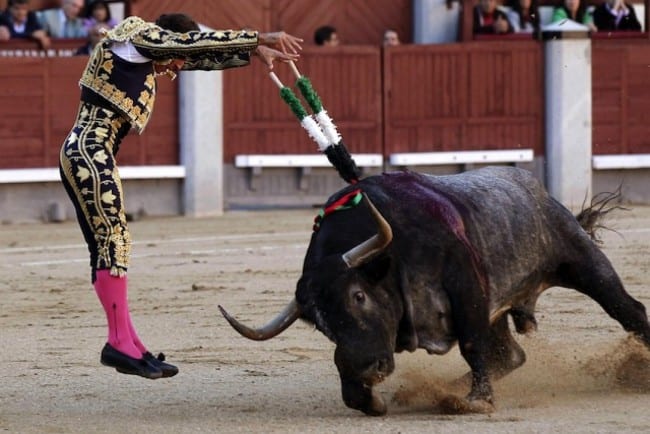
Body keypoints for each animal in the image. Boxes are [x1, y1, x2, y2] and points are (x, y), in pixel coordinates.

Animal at [219, 165, 648, 414]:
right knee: (510, 355)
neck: (397, 253)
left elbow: (472, 345)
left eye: (358, 296)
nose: (365, 368)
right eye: (321, 326)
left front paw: (477, 402)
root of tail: (536, 190)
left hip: (582, 263)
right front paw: (373, 398)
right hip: (497, 309)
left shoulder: (466, 285)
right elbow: (351, 391)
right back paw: (442, 391)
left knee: (629, 309)